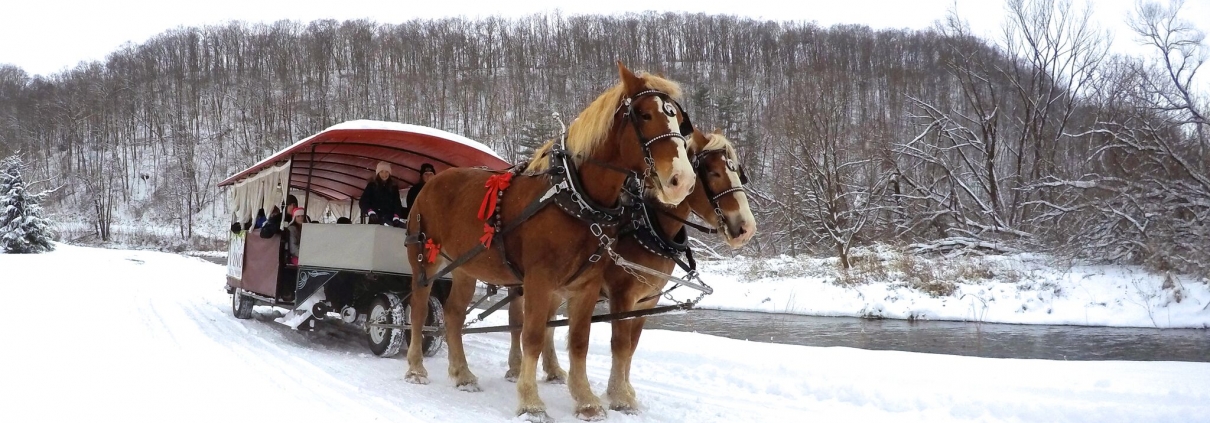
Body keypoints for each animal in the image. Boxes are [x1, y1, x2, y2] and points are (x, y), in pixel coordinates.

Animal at [404, 62, 697, 422]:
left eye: (678, 119)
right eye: (643, 115)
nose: (681, 180)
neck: (576, 198)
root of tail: (431, 182)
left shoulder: (586, 285)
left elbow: (579, 341)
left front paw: (586, 400)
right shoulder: (538, 280)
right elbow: (531, 336)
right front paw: (531, 401)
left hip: (465, 268)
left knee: (454, 314)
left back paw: (462, 373)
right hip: (425, 261)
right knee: (419, 310)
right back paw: (415, 368)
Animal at [503, 129, 757, 414]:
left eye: (739, 174)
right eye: (713, 172)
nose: (746, 228)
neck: (647, 227)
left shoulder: (646, 301)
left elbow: (632, 346)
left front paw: (626, 390)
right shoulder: (622, 296)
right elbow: (620, 344)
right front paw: (619, 396)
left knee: (548, 324)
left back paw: (554, 370)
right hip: (524, 283)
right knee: (517, 322)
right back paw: (515, 367)